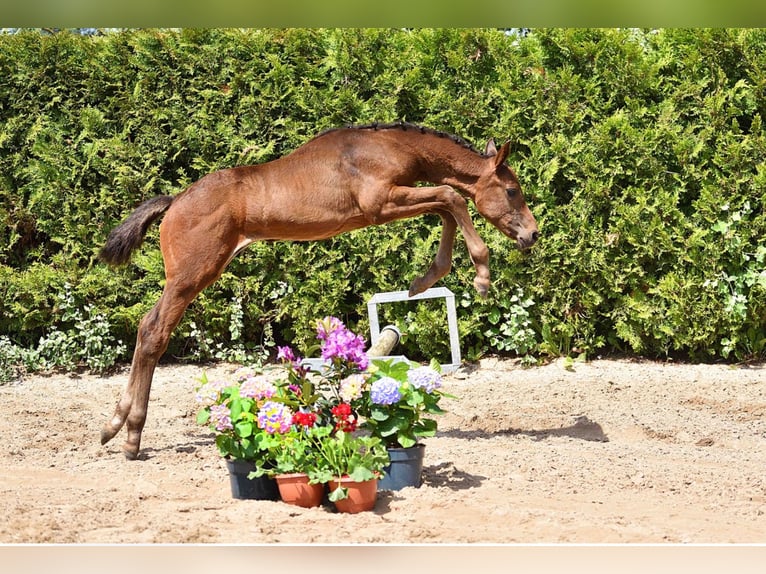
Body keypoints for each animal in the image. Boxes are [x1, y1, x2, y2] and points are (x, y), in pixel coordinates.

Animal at [99, 124, 540, 462]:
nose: (532, 234)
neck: (389, 146)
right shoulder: (380, 203)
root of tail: (174, 202)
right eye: (513, 190)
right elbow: (451, 198)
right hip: (191, 276)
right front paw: (481, 276)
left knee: (145, 328)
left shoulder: (394, 202)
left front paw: (422, 282)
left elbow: (448, 207)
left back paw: (113, 425)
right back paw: (131, 436)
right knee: (154, 332)